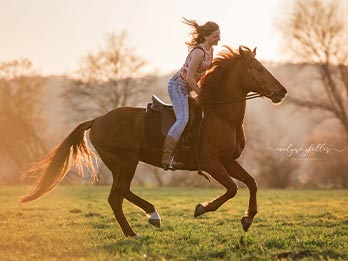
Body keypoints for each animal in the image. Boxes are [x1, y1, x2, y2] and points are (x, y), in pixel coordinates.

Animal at [21, 45, 288, 237]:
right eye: (257, 68)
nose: (282, 92)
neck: (221, 115)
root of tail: (98, 120)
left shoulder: (229, 161)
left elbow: (252, 183)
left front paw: (248, 218)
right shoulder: (211, 163)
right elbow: (233, 188)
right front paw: (202, 208)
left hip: (121, 164)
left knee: (116, 196)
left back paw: (132, 233)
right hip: (126, 160)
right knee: (120, 191)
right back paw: (152, 215)